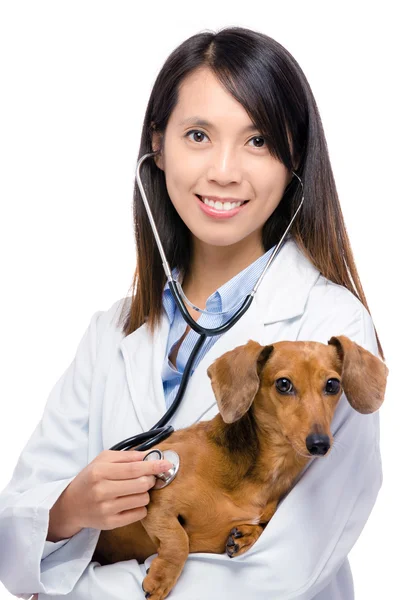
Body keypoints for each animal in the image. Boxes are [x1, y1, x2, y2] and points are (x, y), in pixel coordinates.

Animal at [91, 336, 388, 596]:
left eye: (332, 385)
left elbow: (261, 525)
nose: (319, 444)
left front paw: (246, 535)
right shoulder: (156, 501)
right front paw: (161, 579)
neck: (268, 470)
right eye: (283, 384)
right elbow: (178, 540)